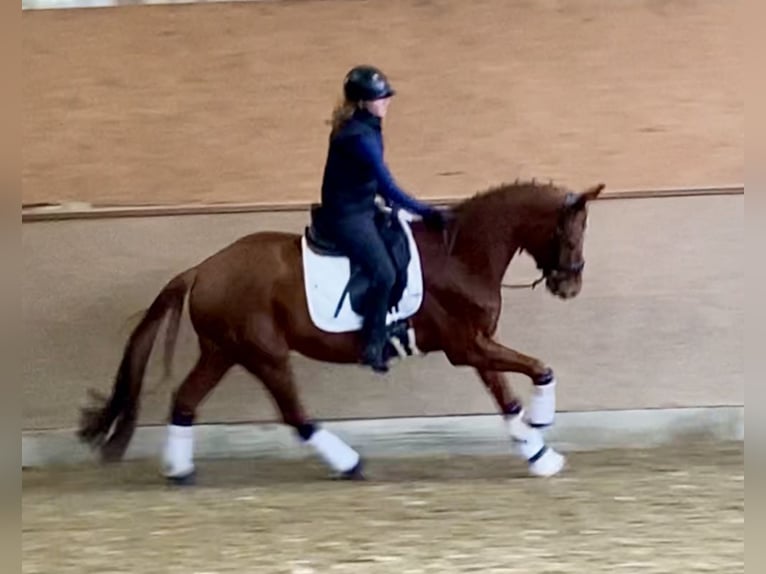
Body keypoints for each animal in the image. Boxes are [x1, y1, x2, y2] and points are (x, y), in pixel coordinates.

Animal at [78, 181, 608, 486]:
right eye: (571, 232)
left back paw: (180, 470)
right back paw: (349, 463)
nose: (570, 285)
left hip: (222, 351)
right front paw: (541, 438)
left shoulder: (475, 347)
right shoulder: (468, 346)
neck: (462, 255)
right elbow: (530, 377)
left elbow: (518, 389)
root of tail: (203, 269)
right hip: (263, 352)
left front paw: (538, 443)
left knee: (186, 401)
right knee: (295, 415)